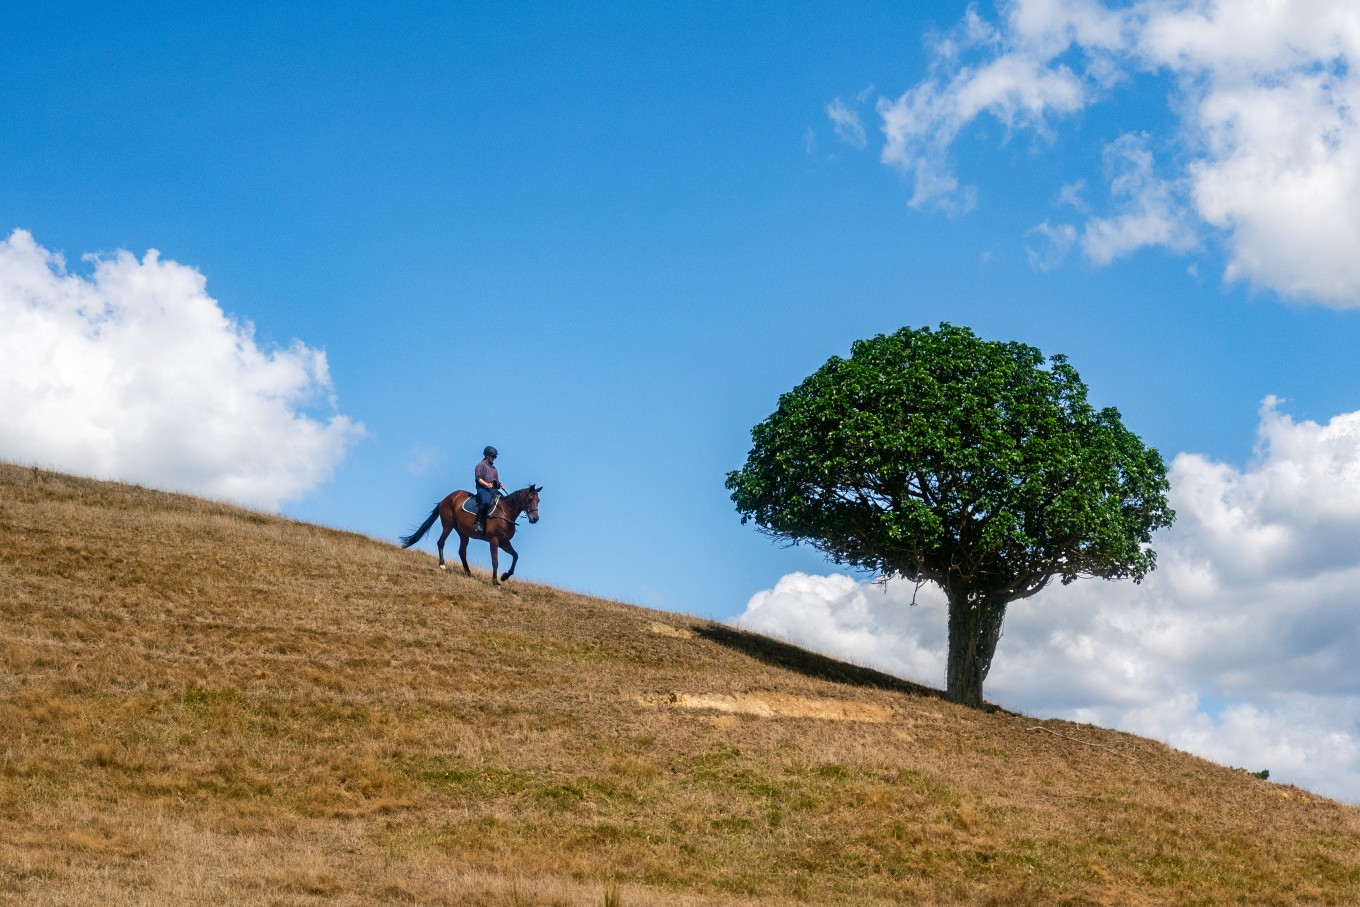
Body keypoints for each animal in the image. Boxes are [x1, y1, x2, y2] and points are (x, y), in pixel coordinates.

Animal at [400, 485, 542, 586]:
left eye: (538, 500)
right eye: (530, 499)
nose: (535, 519)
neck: (505, 513)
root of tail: (447, 498)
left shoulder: (504, 542)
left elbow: (515, 556)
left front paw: (504, 576)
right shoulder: (494, 540)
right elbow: (495, 561)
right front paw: (495, 582)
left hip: (463, 533)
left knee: (462, 551)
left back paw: (468, 572)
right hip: (448, 525)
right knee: (441, 542)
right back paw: (442, 565)